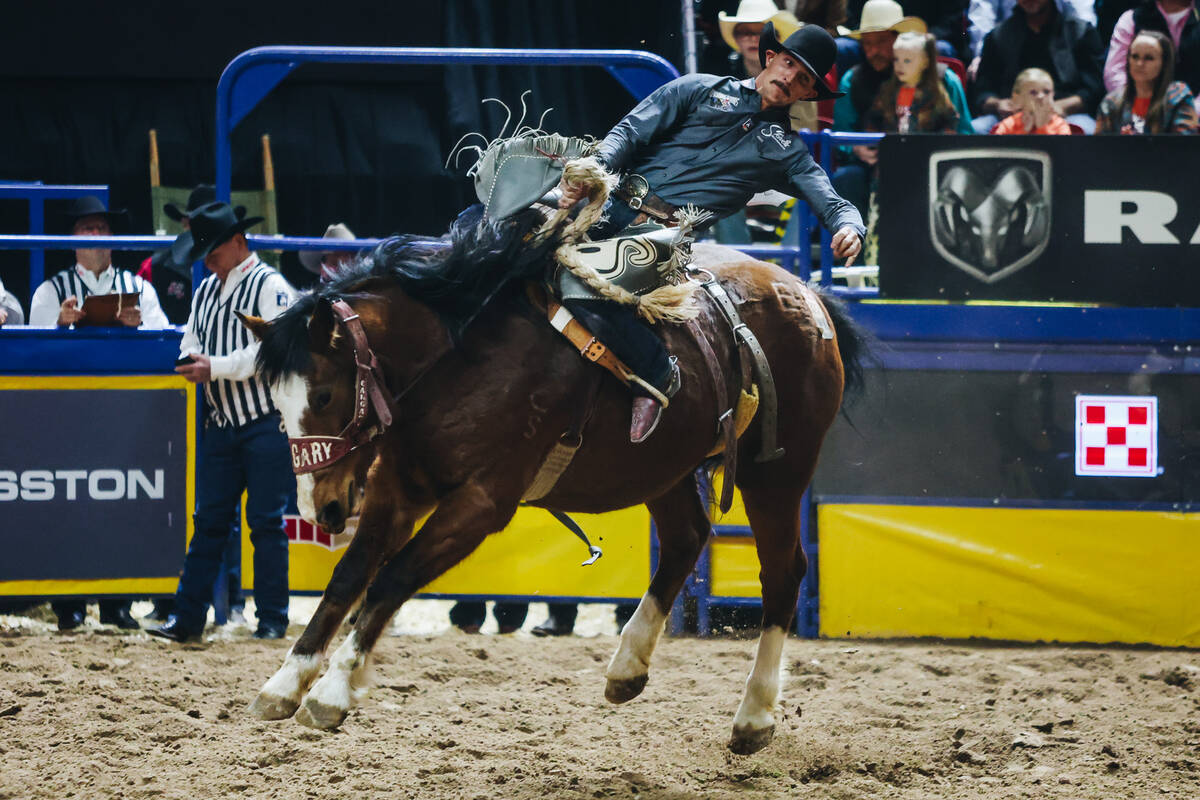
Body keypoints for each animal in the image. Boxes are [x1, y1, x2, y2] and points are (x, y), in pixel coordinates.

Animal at [241, 208, 864, 758]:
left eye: (325, 395)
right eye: (278, 404)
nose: (320, 508)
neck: (459, 358)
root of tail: (808, 296)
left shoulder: (481, 503)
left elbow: (391, 579)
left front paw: (332, 690)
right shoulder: (396, 486)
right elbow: (349, 576)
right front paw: (285, 682)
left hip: (776, 470)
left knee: (783, 572)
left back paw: (753, 716)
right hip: (662, 466)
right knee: (686, 540)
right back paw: (627, 666)